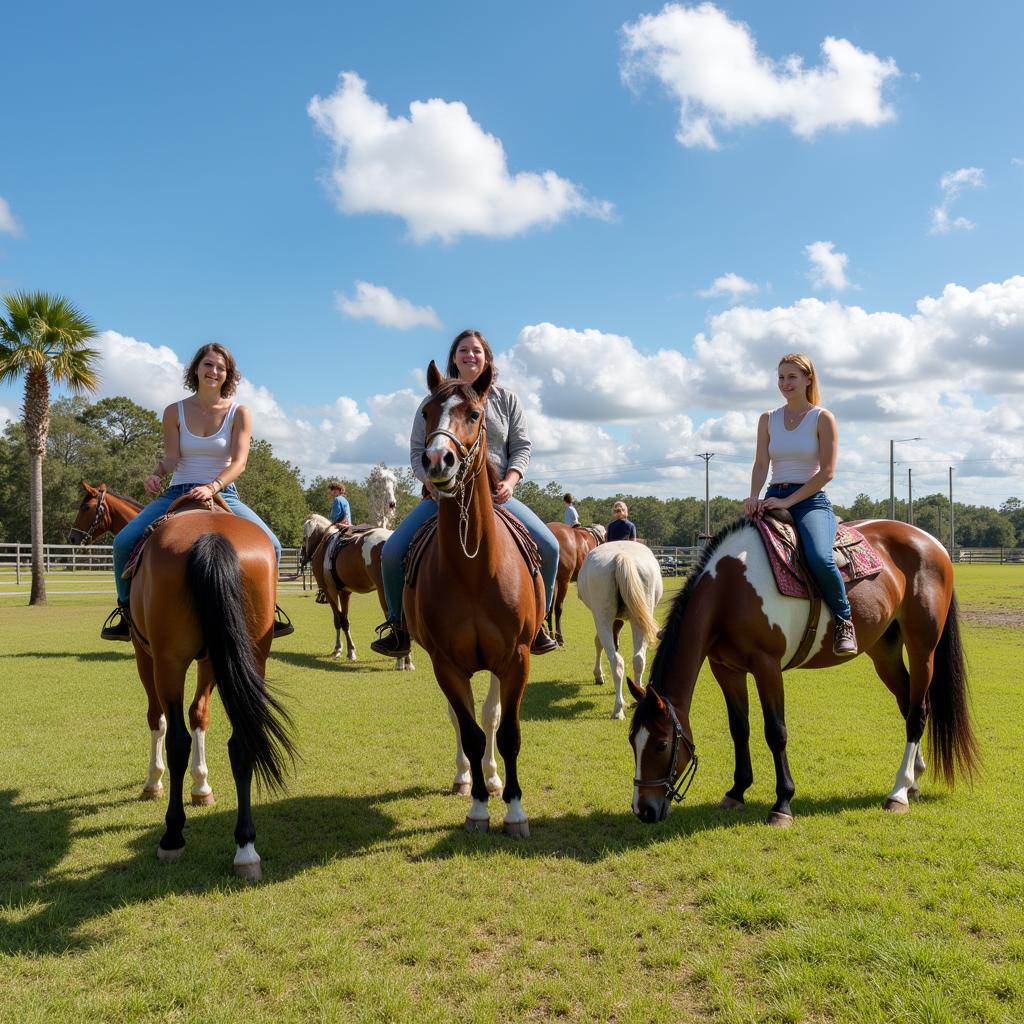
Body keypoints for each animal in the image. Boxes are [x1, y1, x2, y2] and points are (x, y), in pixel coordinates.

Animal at [69, 483, 225, 802]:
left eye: (85, 507)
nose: (72, 537)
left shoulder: (146, 652)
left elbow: (158, 717)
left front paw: (154, 779)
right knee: (200, 713)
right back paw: (202, 786)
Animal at [299, 512, 413, 671]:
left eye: (304, 537)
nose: (303, 557)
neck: (324, 542)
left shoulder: (330, 591)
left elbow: (338, 620)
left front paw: (338, 649)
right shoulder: (344, 592)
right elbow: (345, 621)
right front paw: (350, 651)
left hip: (385, 592)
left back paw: (400, 660)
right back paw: (407, 659)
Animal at [403, 364, 544, 835]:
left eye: (475, 414)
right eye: (426, 412)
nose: (436, 460)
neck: (475, 571)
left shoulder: (516, 658)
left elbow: (506, 731)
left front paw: (514, 809)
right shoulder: (445, 663)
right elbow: (469, 731)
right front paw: (478, 807)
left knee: (492, 715)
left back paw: (494, 778)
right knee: (463, 719)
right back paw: (467, 777)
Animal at [577, 544, 663, 720]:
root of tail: (621, 557)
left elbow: (598, 642)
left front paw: (598, 675)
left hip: (602, 615)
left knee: (615, 658)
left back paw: (618, 708)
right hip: (640, 615)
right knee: (638, 659)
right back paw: (635, 697)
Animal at [626, 516, 978, 827]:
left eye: (661, 744)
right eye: (632, 741)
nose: (644, 809)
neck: (730, 589)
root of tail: (933, 543)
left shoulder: (766, 666)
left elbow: (776, 732)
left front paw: (782, 803)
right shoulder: (726, 669)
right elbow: (739, 728)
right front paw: (737, 791)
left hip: (922, 649)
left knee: (917, 713)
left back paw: (898, 793)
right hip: (885, 652)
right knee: (908, 705)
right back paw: (912, 781)